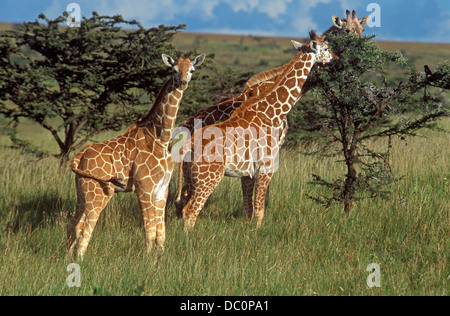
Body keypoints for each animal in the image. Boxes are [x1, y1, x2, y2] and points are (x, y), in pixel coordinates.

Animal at [67, 52, 206, 260]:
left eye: (192, 69)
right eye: (173, 69)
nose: (182, 82)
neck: (160, 138)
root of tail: (79, 155)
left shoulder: (162, 189)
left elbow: (161, 232)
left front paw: (160, 258)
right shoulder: (144, 187)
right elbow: (149, 230)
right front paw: (147, 261)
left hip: (82, 191)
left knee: (73, 225)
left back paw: (66, 257)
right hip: (98, 192)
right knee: (84, 228)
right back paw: (79, 261)